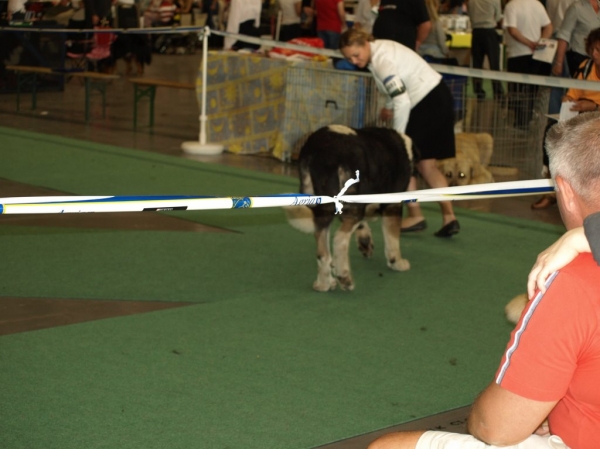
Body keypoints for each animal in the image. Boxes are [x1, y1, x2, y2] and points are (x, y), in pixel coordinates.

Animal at [286, 125, 418, 290]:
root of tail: (321, 151)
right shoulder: (392, 204)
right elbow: (392, 237)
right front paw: (397, 262)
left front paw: (365, 243)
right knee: (339, 238)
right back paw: (344, 277)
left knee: (322, 245)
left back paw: (324, 283)